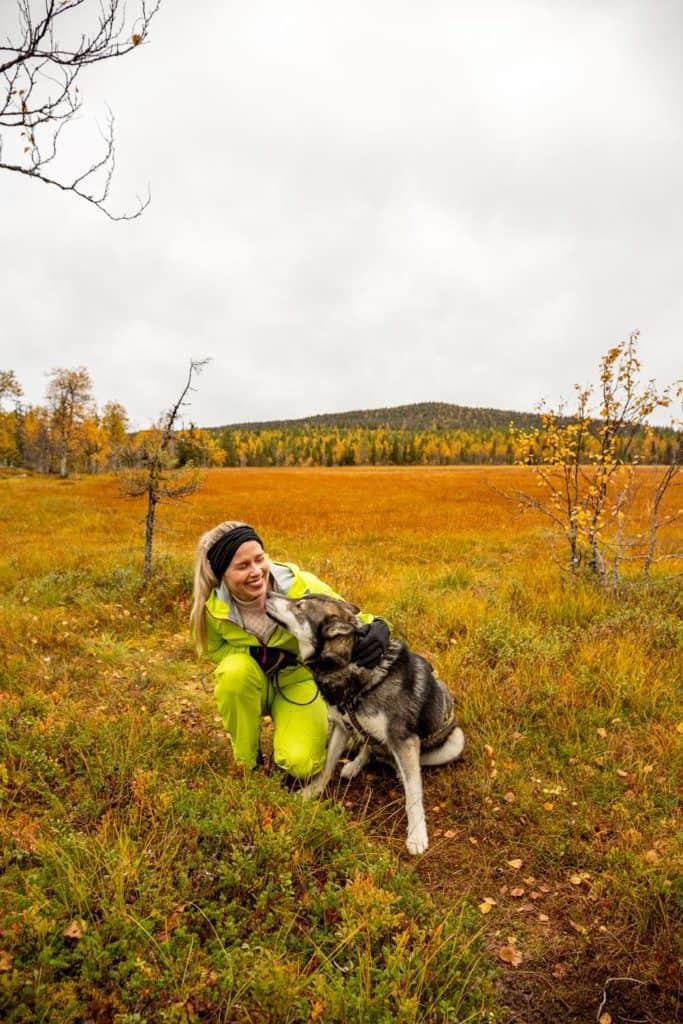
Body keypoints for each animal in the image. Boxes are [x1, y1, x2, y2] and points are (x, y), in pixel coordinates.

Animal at [264, 593, 464, 856]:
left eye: (299, 606)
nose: (268, 594)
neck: (352, 664)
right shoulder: (341, 726)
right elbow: (327, 767)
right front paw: (311, 792)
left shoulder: (404, 740)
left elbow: (413, 796)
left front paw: (417, 835)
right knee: (369, 747)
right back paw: (355, 764)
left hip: (455, 740)